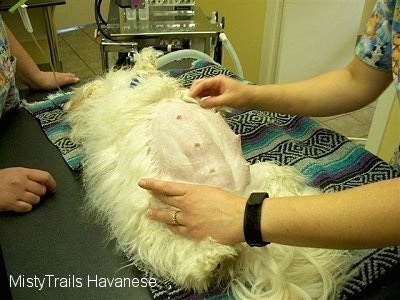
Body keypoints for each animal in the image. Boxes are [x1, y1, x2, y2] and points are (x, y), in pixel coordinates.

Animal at [65, 48, 350, 298]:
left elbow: (163, 84)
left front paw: (148, 57)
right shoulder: (122, 105)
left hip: (267, 176)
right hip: (155, 221)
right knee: (185, 263)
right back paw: (213, 261)